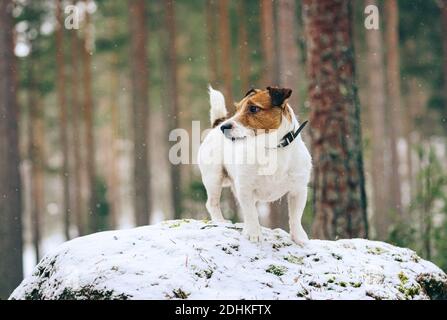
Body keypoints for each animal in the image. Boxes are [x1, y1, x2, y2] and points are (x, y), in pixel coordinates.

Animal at [198, 86, 314, 244]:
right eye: (237, 109)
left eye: (253, 108)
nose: (224, 127)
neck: (271, 148)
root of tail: (217, 124)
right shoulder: (245, 189)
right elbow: (251, 213)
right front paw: (254, 233)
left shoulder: (298, 190)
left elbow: (296, 217)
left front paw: (299, 237)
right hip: (213, 178)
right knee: (212, 203)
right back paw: (220, 221)